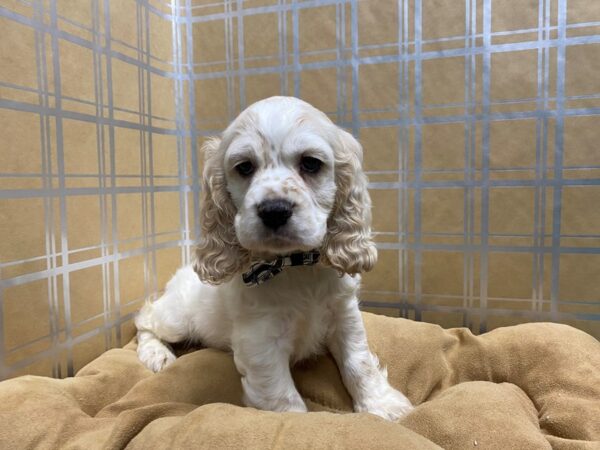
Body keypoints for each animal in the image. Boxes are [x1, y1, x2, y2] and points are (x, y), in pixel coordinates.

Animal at [135, 96, 412, 422]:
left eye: (310, 163)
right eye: (244, 167)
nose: (274, 210)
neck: (295, 266)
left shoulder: (345, 315)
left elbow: (359, 362)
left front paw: (382, 405)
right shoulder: (261, 340)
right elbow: (282, 398)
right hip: (178, 317)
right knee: (145, 319)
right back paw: (157, 354)